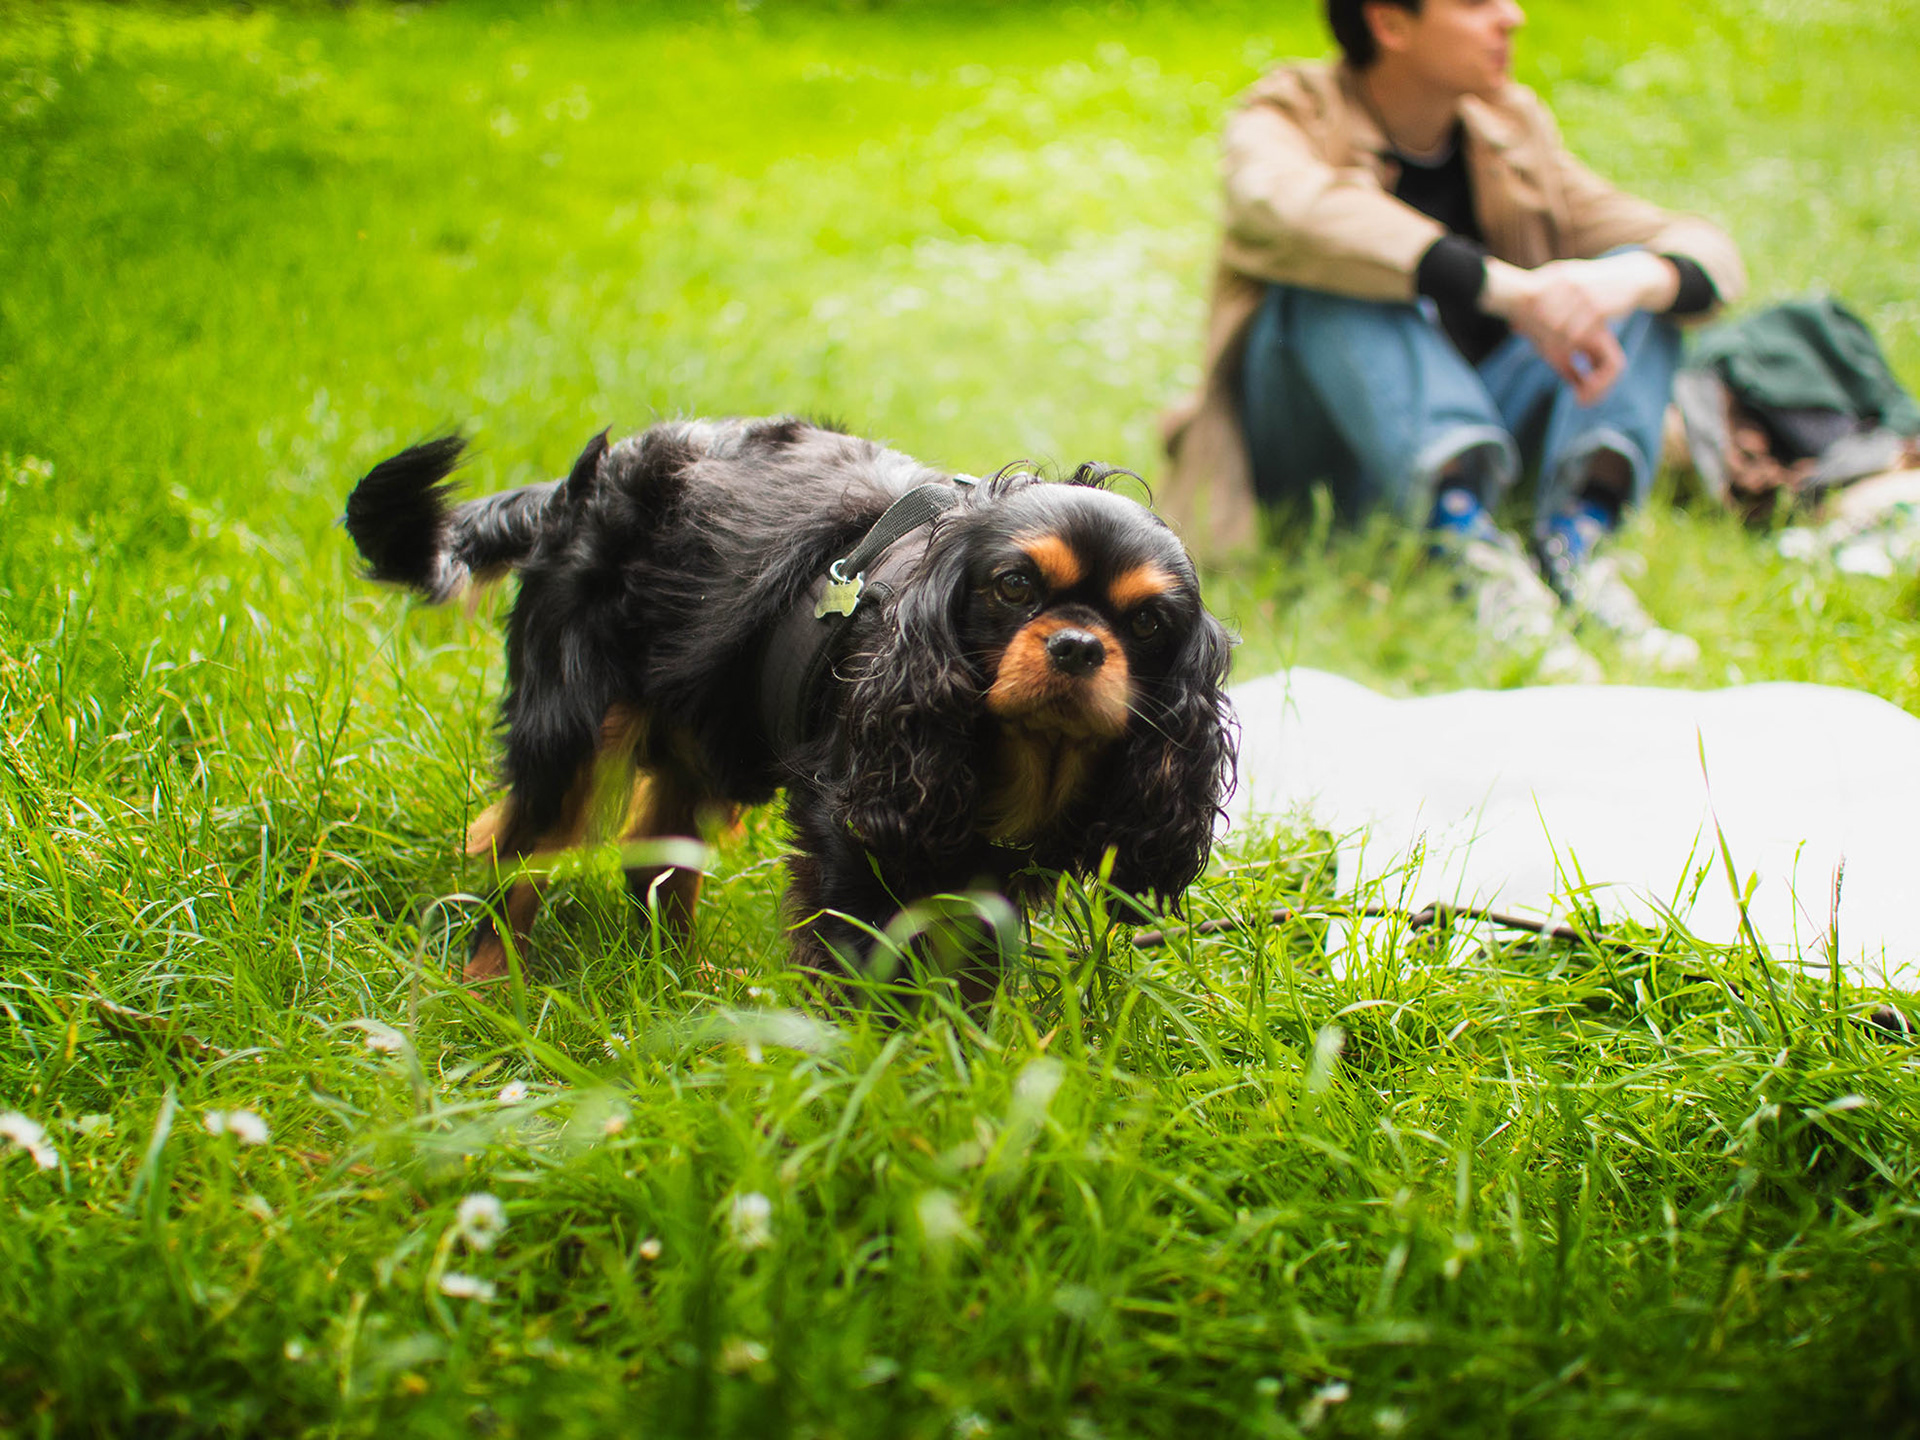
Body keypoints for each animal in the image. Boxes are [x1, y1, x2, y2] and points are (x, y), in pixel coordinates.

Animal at [344, 416, 1236, 990]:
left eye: (1149, 623)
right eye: (1015, 586)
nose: (1079, 645)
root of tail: (584, 480)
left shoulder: (985, 889)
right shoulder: (853, 842)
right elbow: (867, 982)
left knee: (654, 860)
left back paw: (678, 982)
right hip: (573, 726)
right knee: (518, 855)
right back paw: (491, 987)